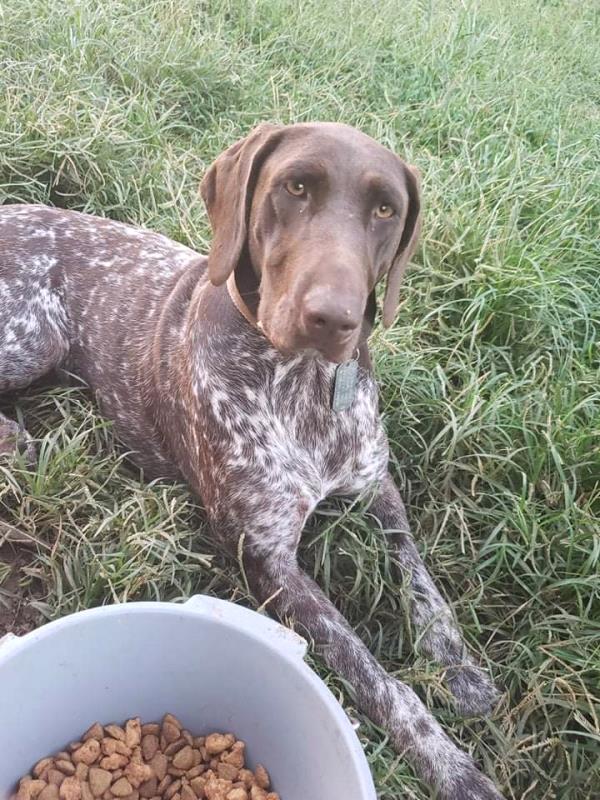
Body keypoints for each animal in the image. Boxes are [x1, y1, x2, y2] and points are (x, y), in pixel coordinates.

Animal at [1, 122, 502, 796]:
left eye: (385, 210)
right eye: (295, 186)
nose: (333, 318)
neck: (303, 382)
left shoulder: (378, 488)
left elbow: (423, 585)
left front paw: (458, 667)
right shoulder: (266, 559)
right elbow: (378, 678)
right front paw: (448, 762)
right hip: (35, 337)